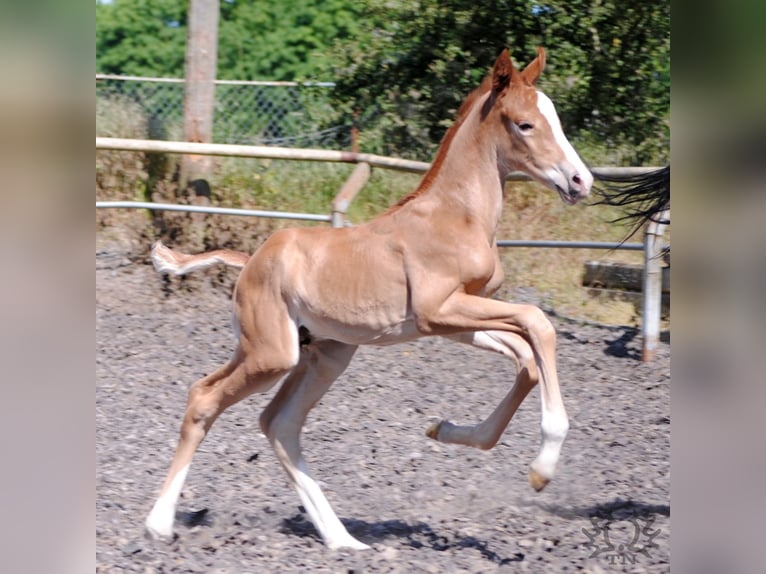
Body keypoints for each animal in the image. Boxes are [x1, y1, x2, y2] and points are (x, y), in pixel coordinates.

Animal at [144, 47, 593, 550]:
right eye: (525, 124)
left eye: (554, 118)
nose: (581, 181)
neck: (456, 215)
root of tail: (252, 260)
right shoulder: (439, 312)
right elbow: (538, 323)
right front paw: (542, 469)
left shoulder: (454, 320)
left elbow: (527, 360)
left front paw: (442, 429)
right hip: (272, 354)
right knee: (205, 399)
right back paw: (158, 522)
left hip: (324, 355)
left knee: (279, 423)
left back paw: (343, 540)